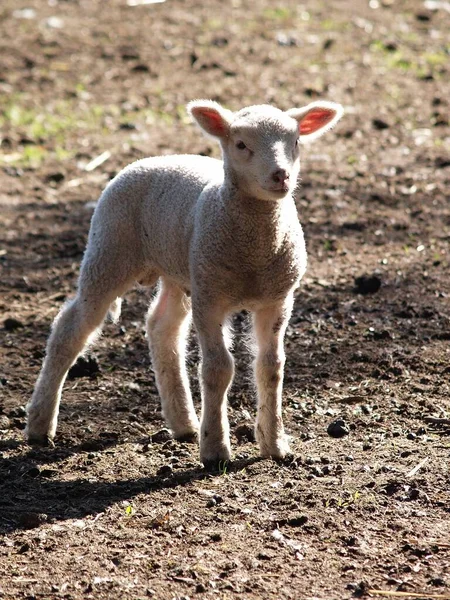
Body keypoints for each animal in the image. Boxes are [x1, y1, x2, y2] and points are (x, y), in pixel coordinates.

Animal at [26, 98, 342, 468]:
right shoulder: (210, 298)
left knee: (163, 327)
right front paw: (216, 449)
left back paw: (184, 422)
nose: (281, 175)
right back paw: (40, 424)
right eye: (241, 145)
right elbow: (218, 368)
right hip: (108, 253)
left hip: (179, 271)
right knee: (70, 330)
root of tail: (152, 159)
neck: (254, 253)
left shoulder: (277, 298)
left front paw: (274, 444)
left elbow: (271, 366)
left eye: (295, 141)